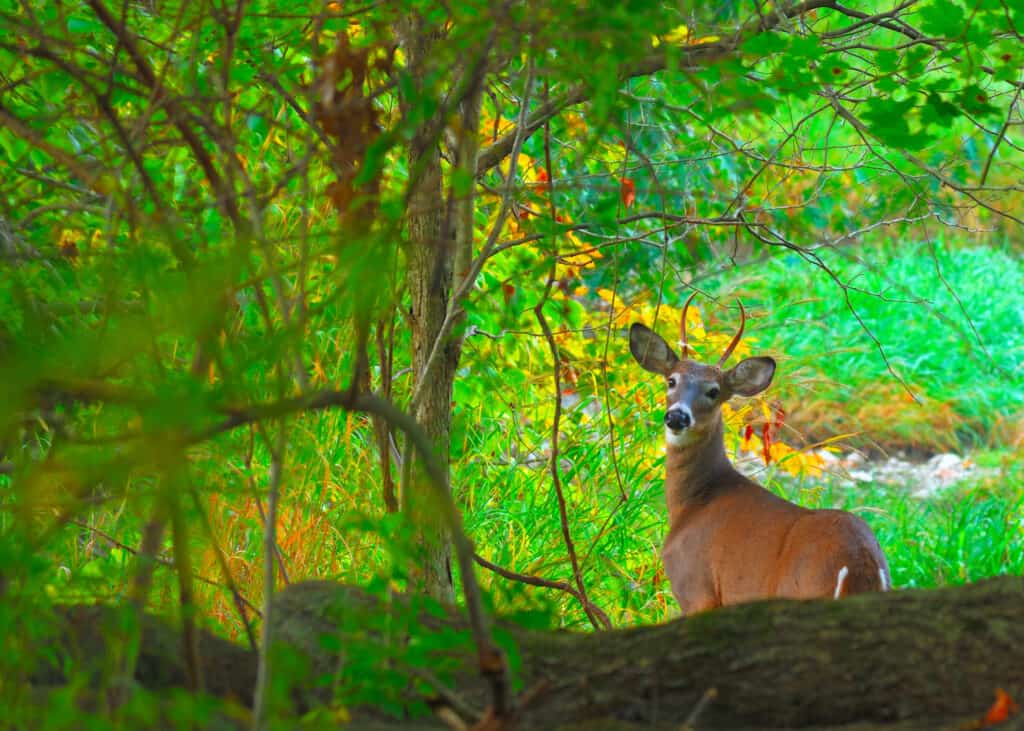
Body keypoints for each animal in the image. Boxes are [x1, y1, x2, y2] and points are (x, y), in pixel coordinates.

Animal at [622, 292, 888, 610]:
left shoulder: (695, 586)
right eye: (671, 381)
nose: (677, 417)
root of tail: (860, 562)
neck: (694, 503)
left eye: (713, 391)